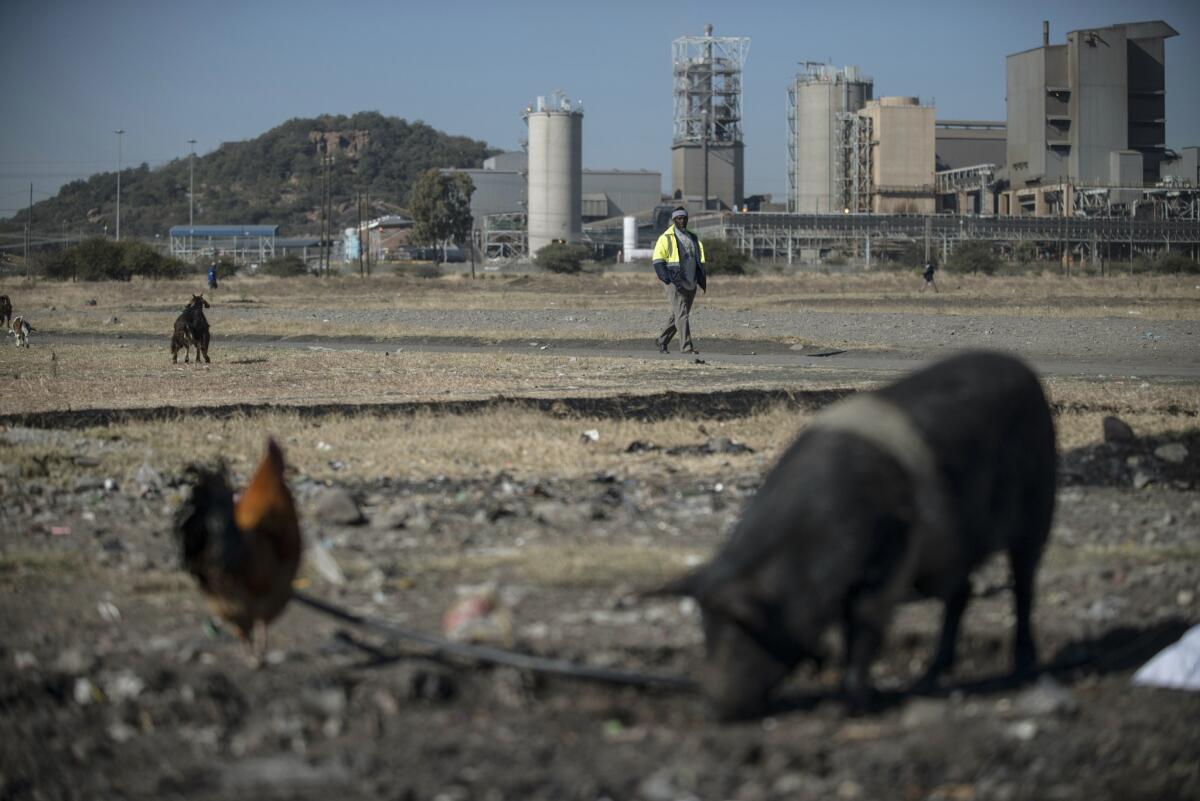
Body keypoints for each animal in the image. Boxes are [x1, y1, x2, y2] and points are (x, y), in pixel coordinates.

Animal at [657, 350, 1060, 719]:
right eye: (705, 629)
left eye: (742, 628)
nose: (712, 709)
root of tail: (1023, 369)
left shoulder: (888, 563)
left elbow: (864, 626)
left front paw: (852, 707)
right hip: (948, 557)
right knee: (962, 593)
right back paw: (929, 678)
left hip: (1037, 509)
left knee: (1024, 583)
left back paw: (1022, 666)